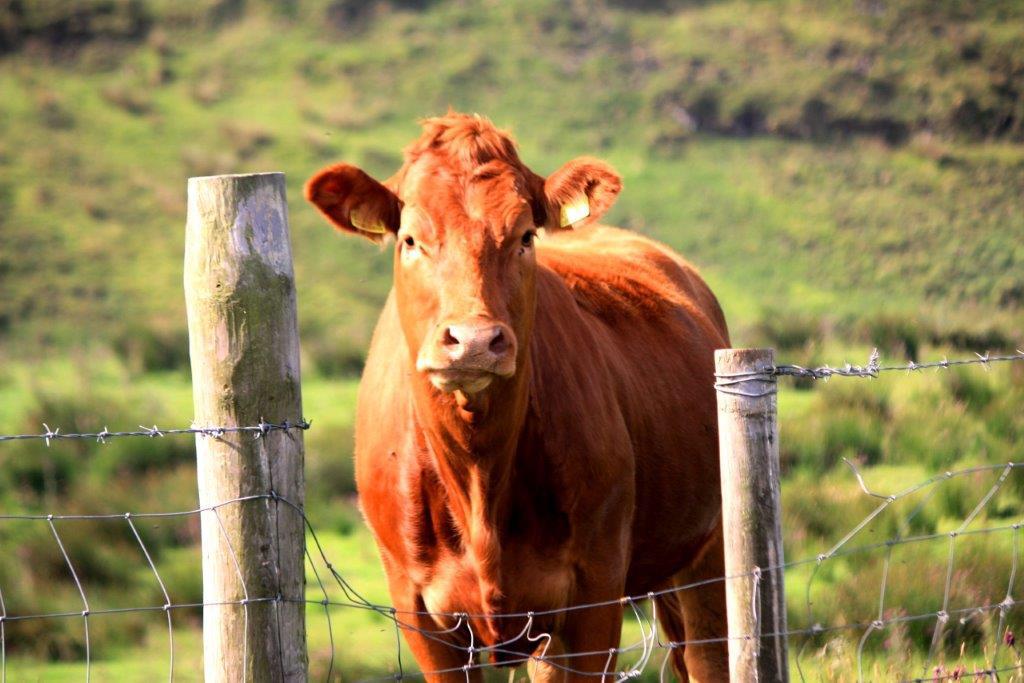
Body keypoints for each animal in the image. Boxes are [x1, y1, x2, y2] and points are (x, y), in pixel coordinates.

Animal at [303, 114, 729, 679]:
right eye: (411, 239)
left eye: (525, 235)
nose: (474, 341)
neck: (479, 477)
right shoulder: (419, 609)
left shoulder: (595, 592)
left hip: (710, 553)